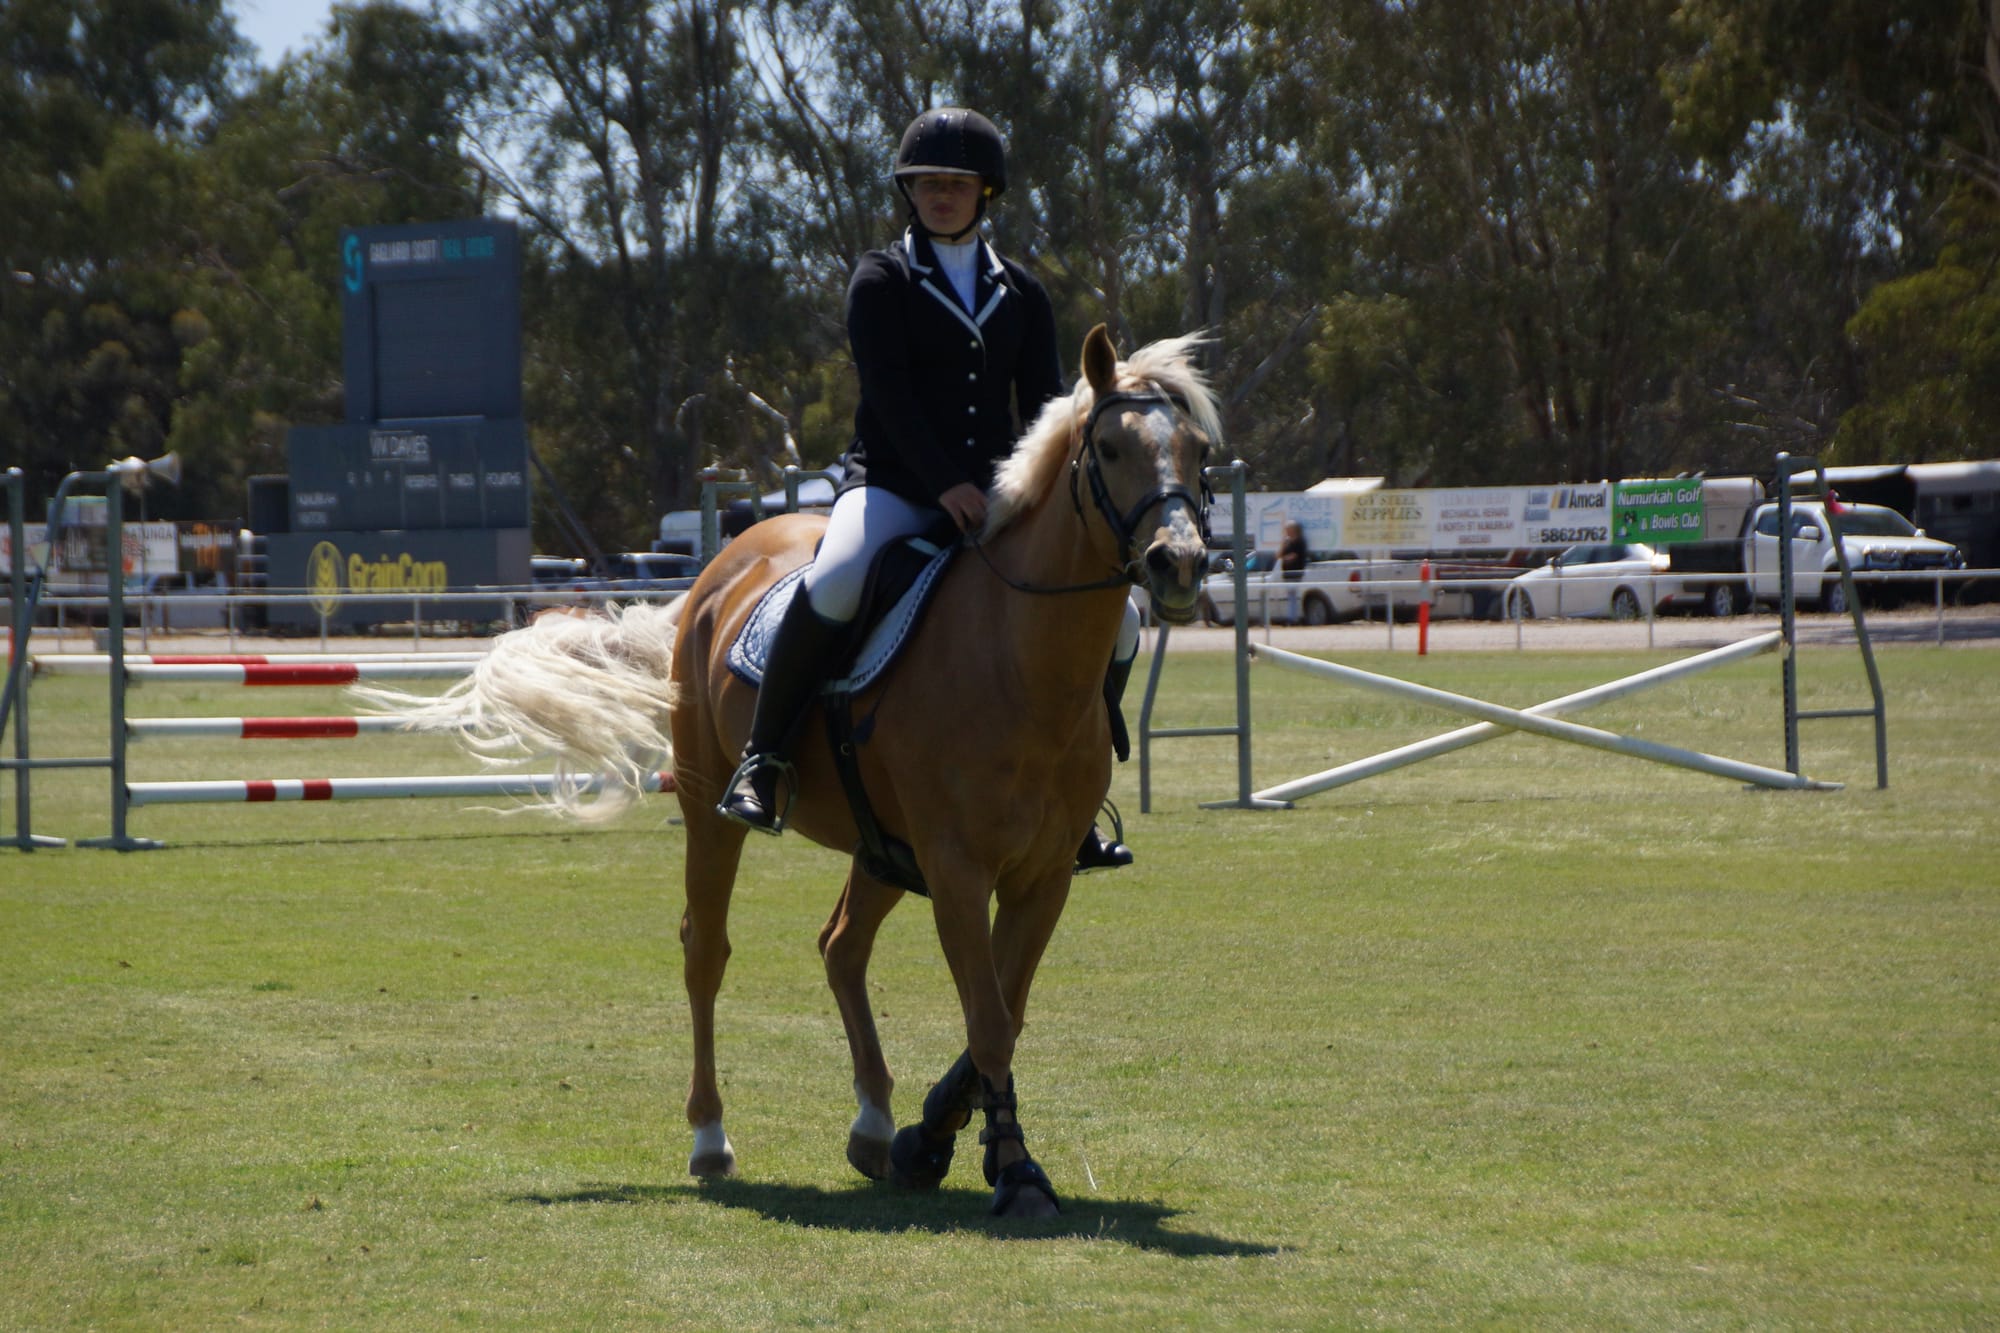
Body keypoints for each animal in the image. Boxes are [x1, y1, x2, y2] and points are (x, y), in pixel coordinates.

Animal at [367, 324, 1217, 1217]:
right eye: (1111, 447)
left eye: (1199, 450)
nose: (1179, 563)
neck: (1019, 659)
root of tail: (721, 563)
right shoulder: (957, 867)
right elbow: (987, 1017)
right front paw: (1014, 1171)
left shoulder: (1042, 874)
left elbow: (1004, 1013)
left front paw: (937, 1137)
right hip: (712, 810)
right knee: (705, 949)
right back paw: (710, 1136)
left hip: (882, 847)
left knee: (841, 946)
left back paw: (875, 1123)